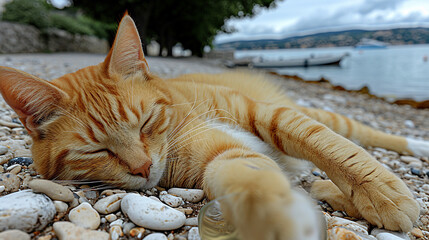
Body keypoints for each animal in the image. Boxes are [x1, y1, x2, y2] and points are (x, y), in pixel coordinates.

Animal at [0, 15, 428, 240]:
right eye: (96, 151)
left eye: (146, 123)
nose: (142, 168)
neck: (180, 117)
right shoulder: (223, 159)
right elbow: (253, 185)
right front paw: (278, 221)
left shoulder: (269, 115)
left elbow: (334, 149)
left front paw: (382, 193)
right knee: (315, 182)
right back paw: (332, 194)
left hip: (325, 116)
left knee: (365, 135)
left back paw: (414, 148)